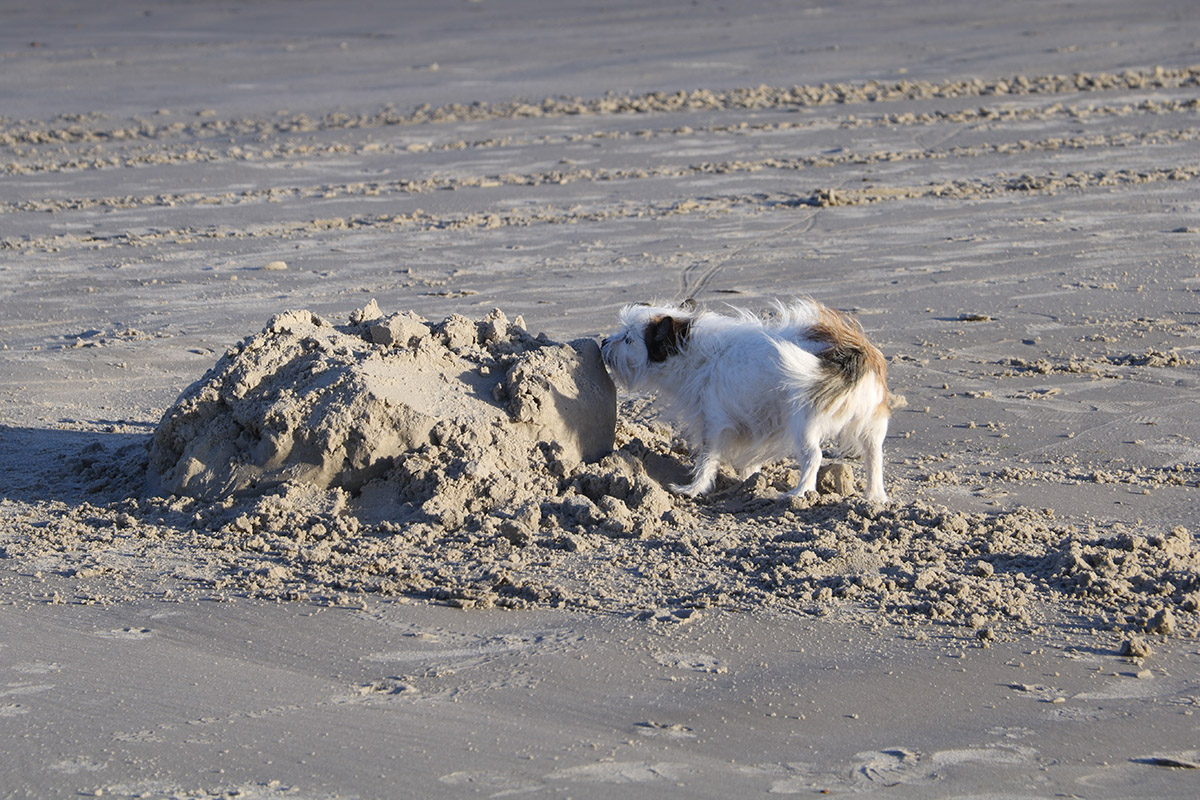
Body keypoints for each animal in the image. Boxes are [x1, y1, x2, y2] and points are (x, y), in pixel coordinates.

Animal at [600, 299, 892, 501]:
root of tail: (857, 352)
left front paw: (692, 489)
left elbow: (706, 460)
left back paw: (799, 494)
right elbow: (751, 460)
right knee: (874, 456)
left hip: (804, 423)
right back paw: (874, 496)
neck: (692, 350)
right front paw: (750, 482)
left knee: (814, 456)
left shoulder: (714, 423)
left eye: (628, 339)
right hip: (871, 425)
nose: (603, 342)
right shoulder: (754, 422)